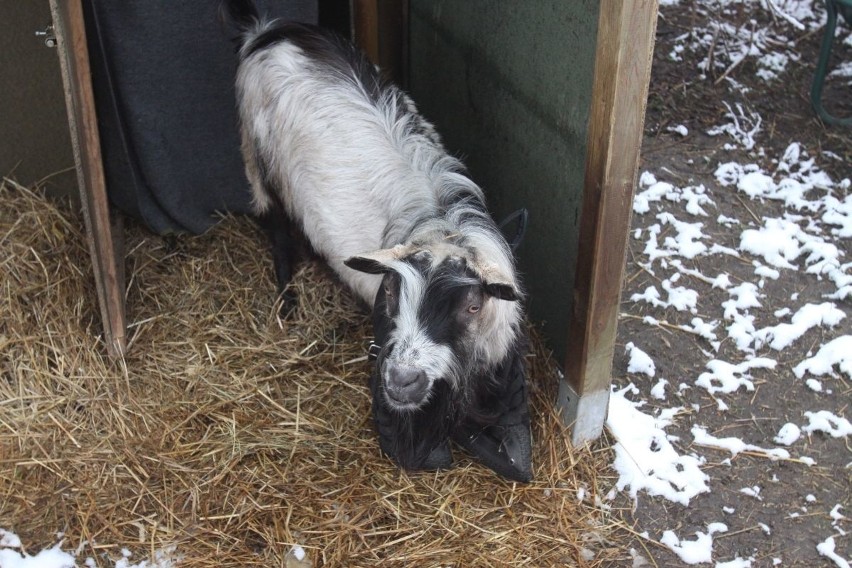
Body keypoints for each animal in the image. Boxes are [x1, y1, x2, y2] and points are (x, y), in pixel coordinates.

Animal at [226, 0, 532, 480]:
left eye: (473, 305)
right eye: (389, 290)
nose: (403, 380)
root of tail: (268, 29)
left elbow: (516, 462)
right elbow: (444, 450)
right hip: (257, 157)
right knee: (275, 227)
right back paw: (287, 303)